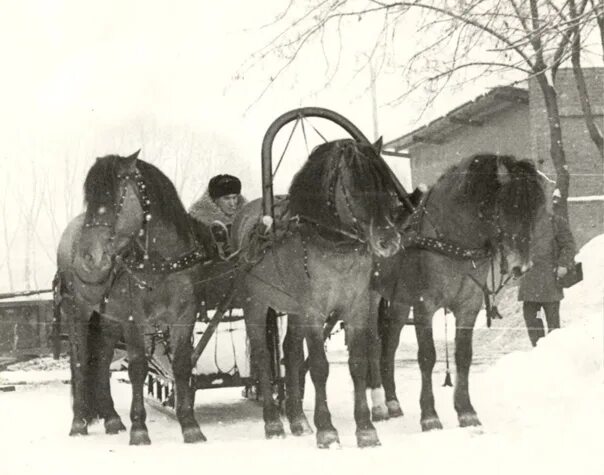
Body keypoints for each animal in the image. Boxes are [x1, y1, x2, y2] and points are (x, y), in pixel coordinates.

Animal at [55, 152, 218, 446]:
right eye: (91, 200)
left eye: (112, 198)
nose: (89, 257)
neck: (161, 263)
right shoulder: (133, 320)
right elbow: (138, 369)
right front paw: (139, 429)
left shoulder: (184, 316)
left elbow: (181, 366)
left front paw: (190, 425)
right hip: (77, 311)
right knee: (80, 361)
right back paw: (79, 422)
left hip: (108, 319)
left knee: (102, 360)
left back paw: (111, 418)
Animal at [230, 139, 402, 450]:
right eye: (357, 188)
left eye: (388, 189)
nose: (389, 241)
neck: (333, 240)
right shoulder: (313, 310)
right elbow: (320, 367)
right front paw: (327, 431)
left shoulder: (356, 307)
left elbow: (357, 364)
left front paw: (366, 429)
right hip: (255, 303)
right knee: (262, 356)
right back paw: (273, 422)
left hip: (293, 308)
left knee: (291, 352)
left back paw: (298, 419)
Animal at [370, 153, 544, 432]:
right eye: (507, 207)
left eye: (535, 211)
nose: (522, 266)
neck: (454, 242)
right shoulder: (424, 305)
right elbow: (427, 356)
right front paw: (429, 415)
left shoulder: (468, 306)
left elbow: (463, 355)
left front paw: (466, 411)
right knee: (372, 347)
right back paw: (378, 408)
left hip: (398, 302)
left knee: (389, 346)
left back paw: (393, 402)